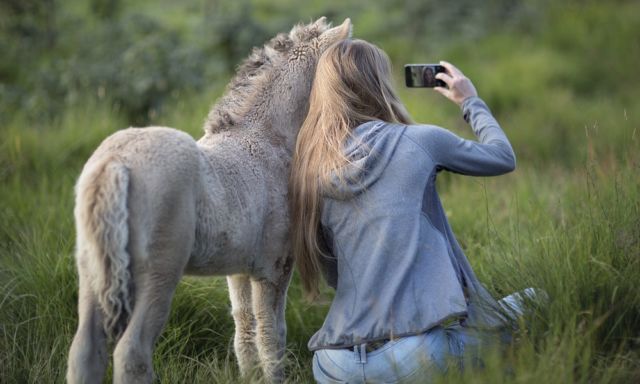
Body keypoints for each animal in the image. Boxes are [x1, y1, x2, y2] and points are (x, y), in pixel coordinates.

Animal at [67, 18, 352, 384]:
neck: (267, 139)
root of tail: (117, 161)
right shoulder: (274, 267)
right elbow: (272, 334)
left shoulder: (240, 268)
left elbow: (245, 327)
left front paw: (249, 377)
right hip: (158, 275)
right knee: (131, 352)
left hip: (92, 269)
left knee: (84, 350)